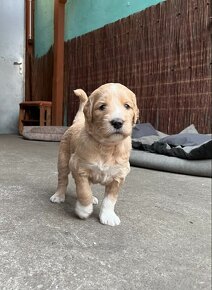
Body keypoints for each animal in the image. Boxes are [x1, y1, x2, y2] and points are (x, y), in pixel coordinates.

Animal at [50, 82, 139, 225]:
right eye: (102, 107)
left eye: (127, 106)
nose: (117, 122)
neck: (107, 146)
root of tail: (78, 122)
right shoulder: (79, 167)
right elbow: (84, 191)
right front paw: (84, 210)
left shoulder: (119, 176)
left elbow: (110, 199)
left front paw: (108, 216)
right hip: (63, 160)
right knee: (62, 180)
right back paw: (58, 196)